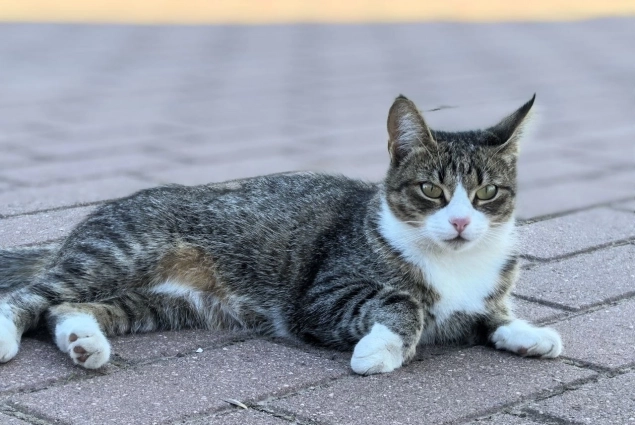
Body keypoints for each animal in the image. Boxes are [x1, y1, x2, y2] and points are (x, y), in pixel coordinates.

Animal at [0, 93, 564, 374]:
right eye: (430, 189)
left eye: (487, 192)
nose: (462, 222)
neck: (456, 265)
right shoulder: (322, 296)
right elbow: (403, 302)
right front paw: (382, 349)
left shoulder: (485, 295)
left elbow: (491, 315)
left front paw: (527, 333)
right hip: (118, 253)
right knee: (30, 297)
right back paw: (9, 335)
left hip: (166, 302)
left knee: (65, 308)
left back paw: (82, 342)